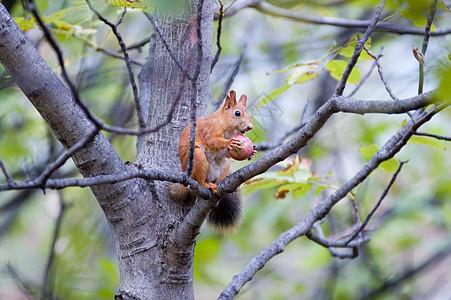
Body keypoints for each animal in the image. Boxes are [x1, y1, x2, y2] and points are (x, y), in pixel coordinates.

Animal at [170, 90, 256, 231]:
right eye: (237, 113)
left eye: (250, 115)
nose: (250, 127)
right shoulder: (210, 129)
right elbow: (213, 141)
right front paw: (229, 142)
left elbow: (226, 153)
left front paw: (251, 153)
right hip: (198, 159)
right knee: (200, 181)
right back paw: (207, 185)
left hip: (224, 165)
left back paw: (223, 181)